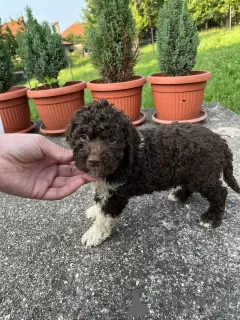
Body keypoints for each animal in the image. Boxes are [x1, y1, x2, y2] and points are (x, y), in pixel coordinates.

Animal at [66, 99, 240, 246]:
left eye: (112, 140)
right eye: (83, 137)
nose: (93, 161)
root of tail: (219, 140)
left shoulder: (117, 193)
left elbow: (105, 216)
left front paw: (94, 234)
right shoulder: (107, 187)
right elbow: (100, 199)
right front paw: (95, 210)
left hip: (203, 175)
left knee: (220, 192)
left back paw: (211, 218)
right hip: (192, 172)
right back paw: (179, 195)